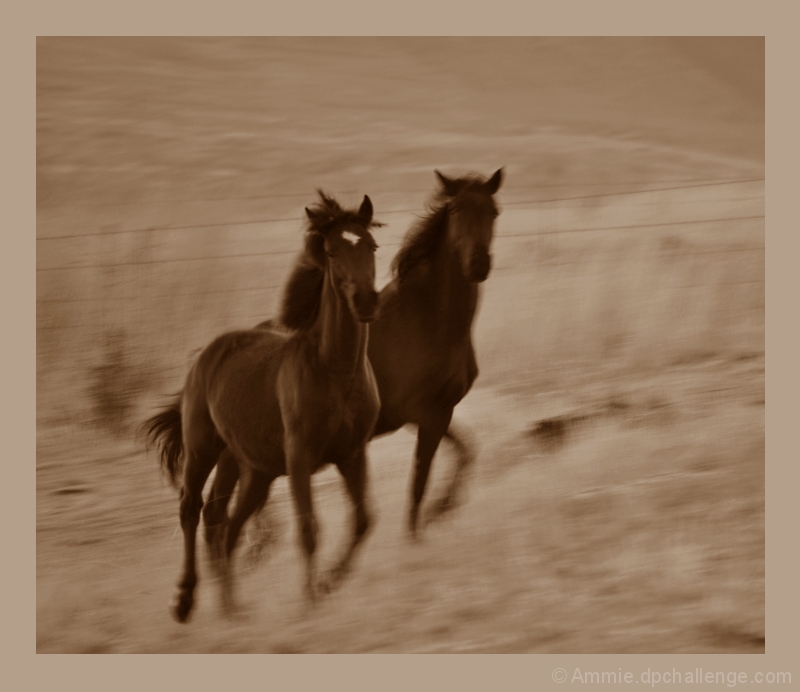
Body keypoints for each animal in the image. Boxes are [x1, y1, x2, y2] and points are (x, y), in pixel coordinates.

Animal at [144, 191, 383, 622]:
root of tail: (205, 355)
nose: (366, 301)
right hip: (203, 449)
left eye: (371, 246)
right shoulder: (300, 456)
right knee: (192, 509)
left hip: (252, 468)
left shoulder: (352, 453)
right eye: (330, 250)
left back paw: (231, 609)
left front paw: (327, 583)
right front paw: (311, 600)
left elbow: (362, 520)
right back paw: (185, 601)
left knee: (223, 522)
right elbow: (309, 528)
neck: (335, 370)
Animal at [204, 168, 503, 555]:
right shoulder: (422, 413)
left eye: (493, 212)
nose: (478, 264)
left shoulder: (440, 410)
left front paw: (441, 510)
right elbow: (420, 479)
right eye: (455, 212)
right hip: (234, 453)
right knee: (218, 510)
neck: (427, 319)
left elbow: (466, 452)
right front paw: (419, 533)